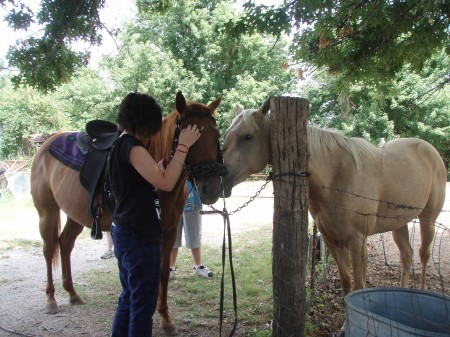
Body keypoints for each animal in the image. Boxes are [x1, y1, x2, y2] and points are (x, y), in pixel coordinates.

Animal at [30, 90, 224, 334]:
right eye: (190, 137)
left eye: (216, 135)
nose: (211, 189)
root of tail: (46, 144)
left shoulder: (169, 230)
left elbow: (162, 272)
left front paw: (165, 318)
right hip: (47, 212)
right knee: (49, 249)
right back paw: (51, 299)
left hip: (76, 215)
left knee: (64, 244)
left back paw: (73, 294)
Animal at [202, 101, 444, 322]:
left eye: (248, 137)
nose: (209, 185)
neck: (337, 176)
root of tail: (429, 149)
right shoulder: (331, 240)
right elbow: (347, 283)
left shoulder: (357, 241)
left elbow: (360, 285)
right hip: (399, 223)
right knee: (406, 256)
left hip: (427, 220)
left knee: (423, 255)